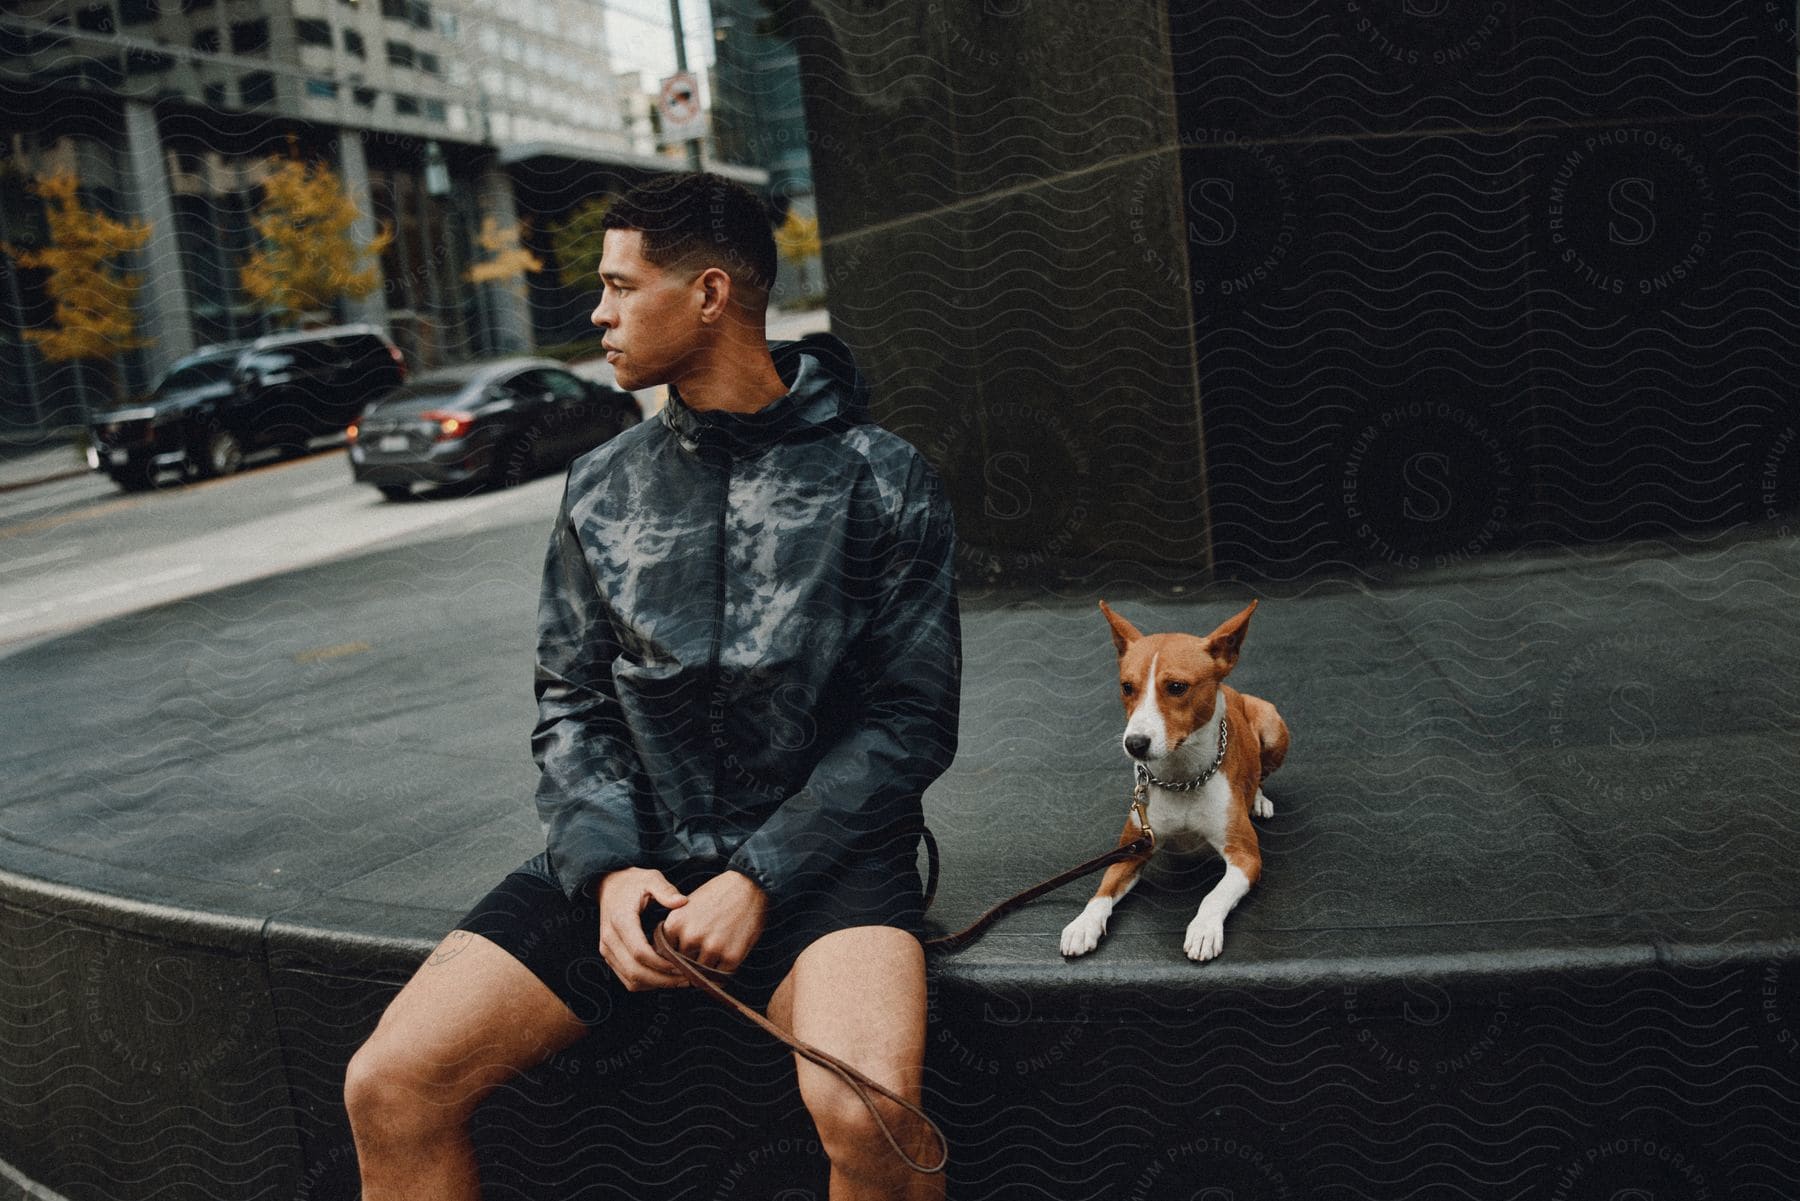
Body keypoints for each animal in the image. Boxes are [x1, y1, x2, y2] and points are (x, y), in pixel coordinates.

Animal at [1051, 601, 1296, 965]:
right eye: (1127, 687)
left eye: (1177, 687)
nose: (1135, 743)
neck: (1183, 779)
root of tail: (1234, 691)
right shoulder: (1132, 848)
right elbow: (1102, 889)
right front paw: (1084, 923)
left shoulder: (1246, 857)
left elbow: (1213, 896)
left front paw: (1204, 929)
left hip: (1271, 724)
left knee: (1262, 773)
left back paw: (1258, 799)